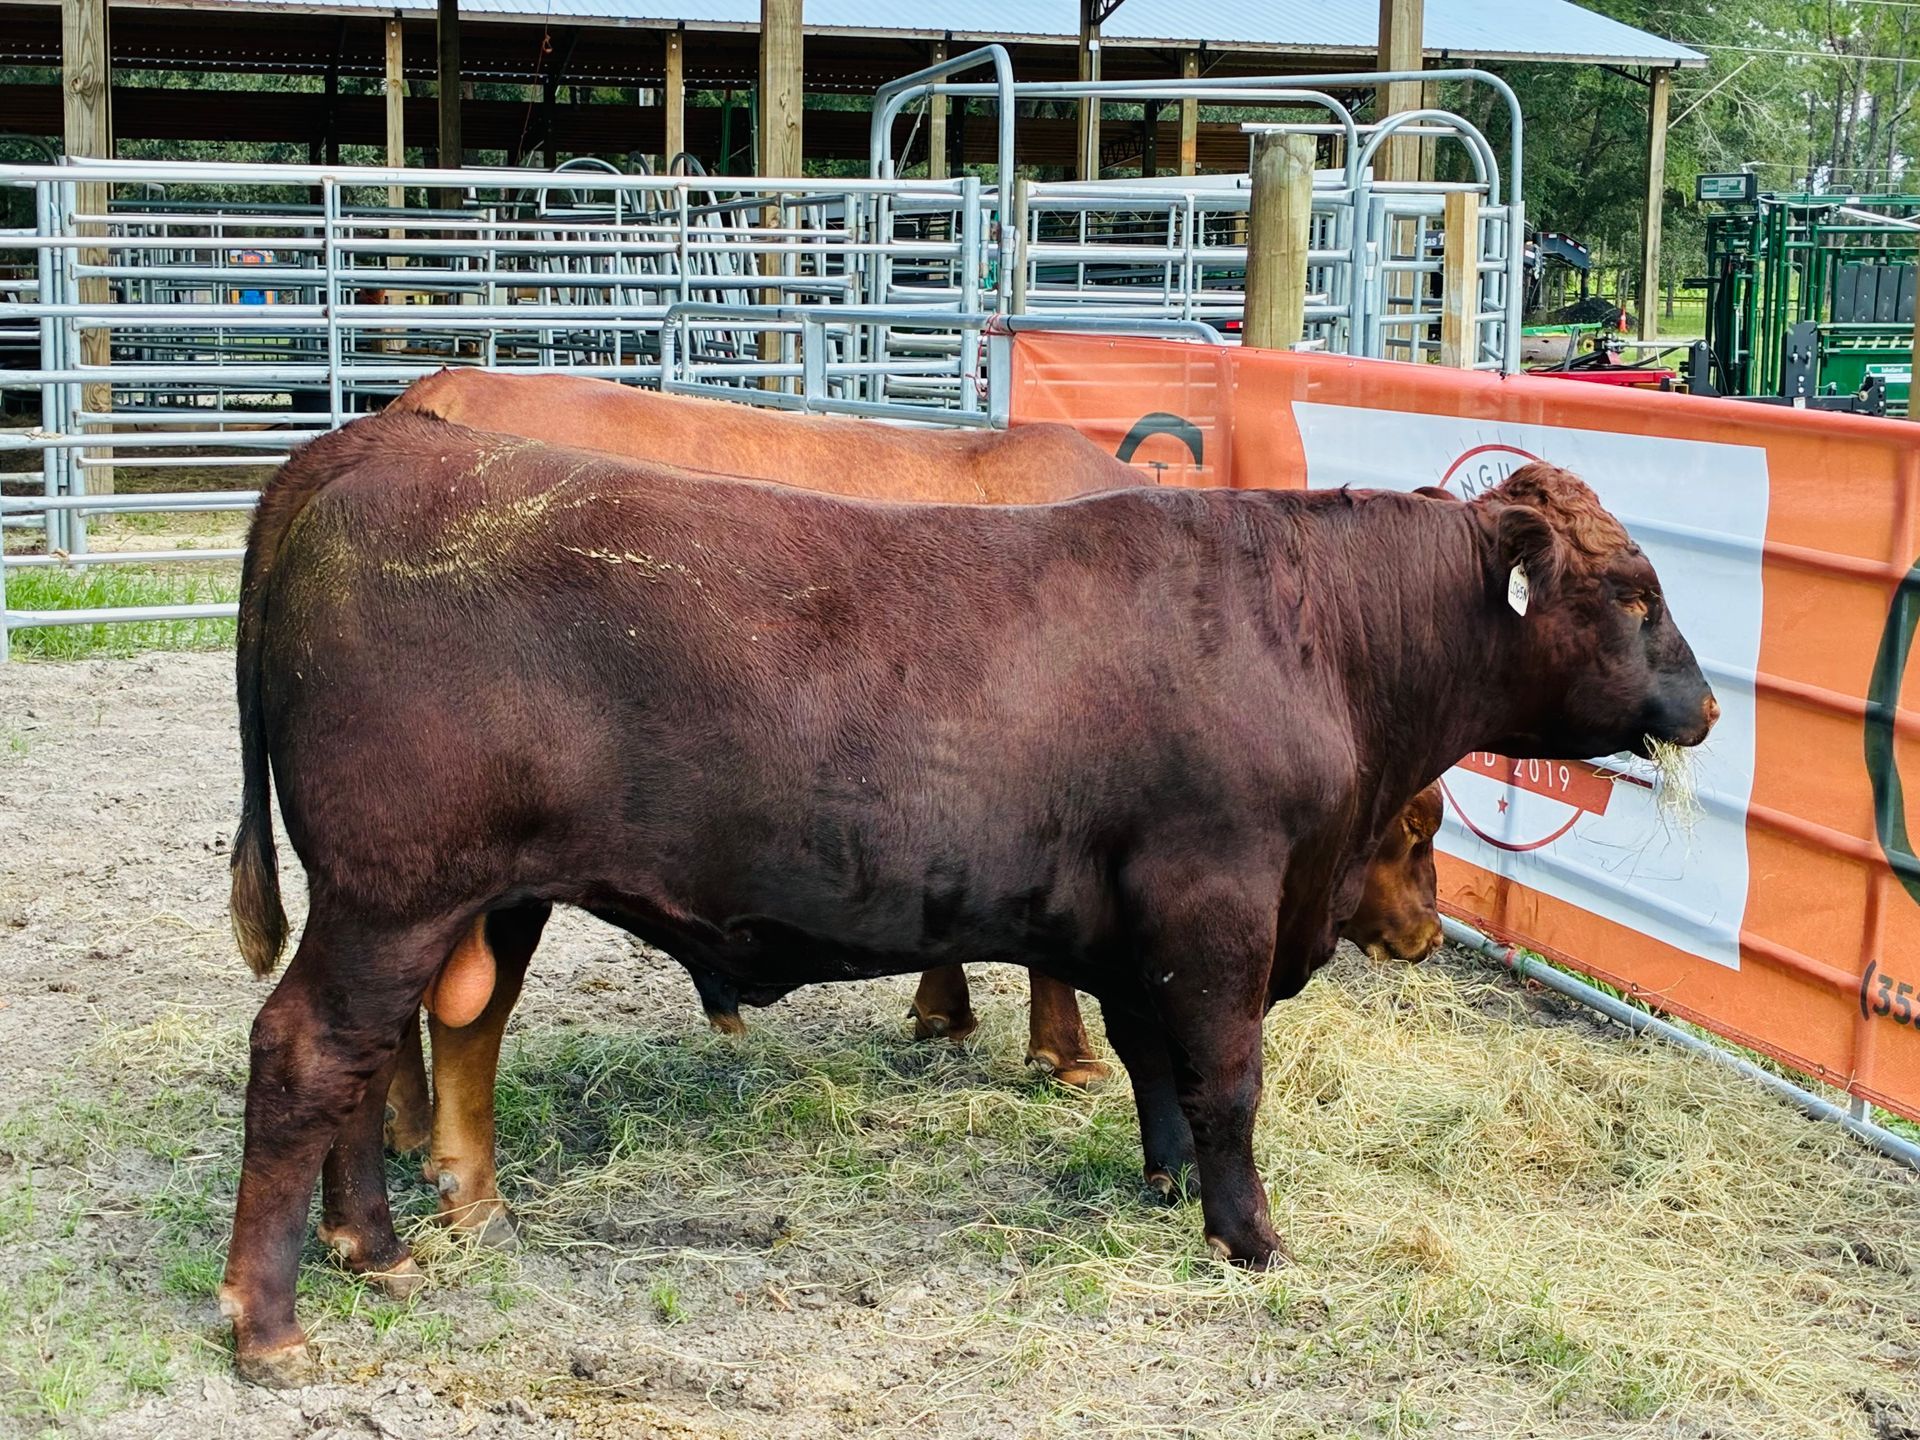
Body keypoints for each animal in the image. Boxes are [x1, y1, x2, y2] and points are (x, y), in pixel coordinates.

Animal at [219, 414, 1715, 1384]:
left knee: (365, 1067)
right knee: (307, 1054)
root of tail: (364, 450)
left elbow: (1152, 1062)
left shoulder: (1135, 921)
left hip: (405, 906)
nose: (1702, 707)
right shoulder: (1219, 900)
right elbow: (1228, 1078)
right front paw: (1249, 1235)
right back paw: (273, 1319)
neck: (1310, 629)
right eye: (1631, 591)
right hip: (396, 891)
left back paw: (375, 1249)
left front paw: (1167, 1183)